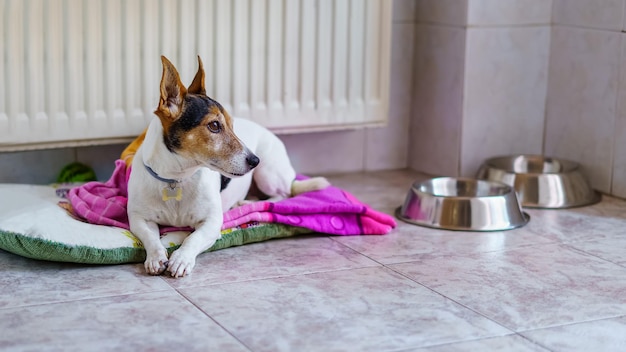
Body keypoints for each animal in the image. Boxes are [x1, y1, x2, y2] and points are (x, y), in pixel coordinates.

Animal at [125, 55, 326, 278]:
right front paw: (156, 257)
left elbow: (192, 238)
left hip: (268, 175)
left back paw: (246, 203)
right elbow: (151, 238)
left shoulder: (212, 223)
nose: (255, 160)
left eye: (232, 124)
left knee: (283, 195)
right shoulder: (138, 219)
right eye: (214, 125)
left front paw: (181, 258)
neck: (176, 178)